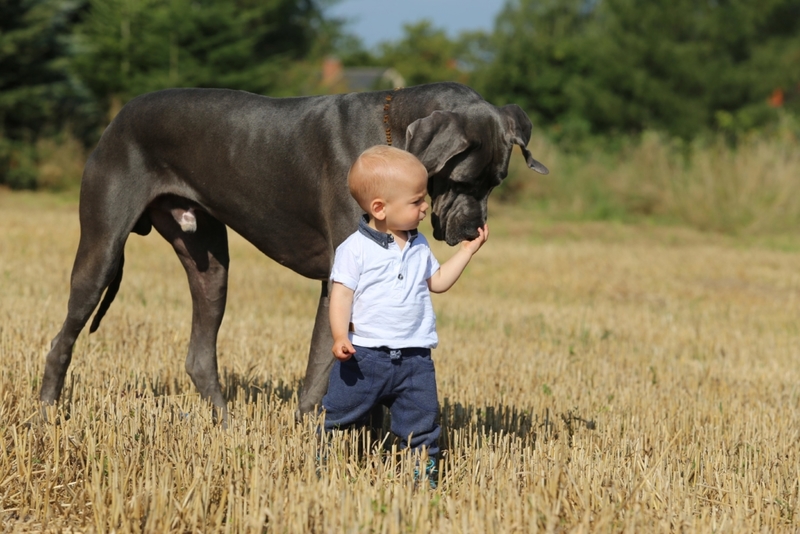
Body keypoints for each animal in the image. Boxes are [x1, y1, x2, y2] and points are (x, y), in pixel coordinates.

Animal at [40, 82, 548, 428]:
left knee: (199, 354)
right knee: (63, 338)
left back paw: (227, 426)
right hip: (102, 250)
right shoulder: (340, 281)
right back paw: (45, 413)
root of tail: (118, 117)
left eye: (496, 182)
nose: (474, 230)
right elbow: (323, 367)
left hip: (210, 264)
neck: (390, 136)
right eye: (462, 181)